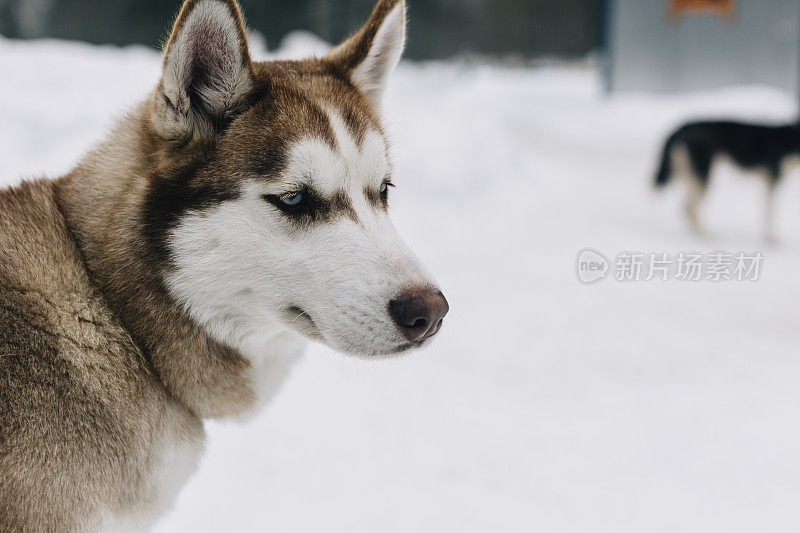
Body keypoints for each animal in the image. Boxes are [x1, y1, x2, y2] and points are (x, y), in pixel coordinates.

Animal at [652, 120, 800, 239]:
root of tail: (681, 127)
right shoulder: (773, 180)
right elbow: (770, 212)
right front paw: (770, 238)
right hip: (702, 176)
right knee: (690, 209)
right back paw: (704, 235)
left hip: (687, 176)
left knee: (686, 208)